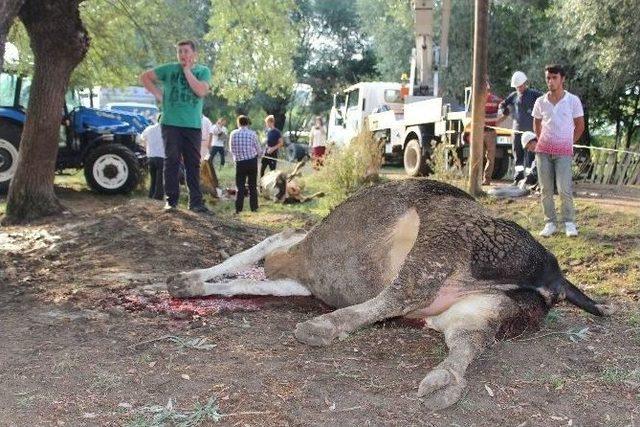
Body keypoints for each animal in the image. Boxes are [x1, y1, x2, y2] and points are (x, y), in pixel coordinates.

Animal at [168, 180, 612, 412]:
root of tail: (554, 276)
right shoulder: (292, 278)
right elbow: (247, 278)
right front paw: (189, 284)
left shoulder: (292, 245)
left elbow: (258, 248)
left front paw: (187, 279)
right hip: (487, 307)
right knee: (470, 340)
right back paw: (443, 382)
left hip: (442, 238)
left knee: (400, 294)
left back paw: (322, 326)